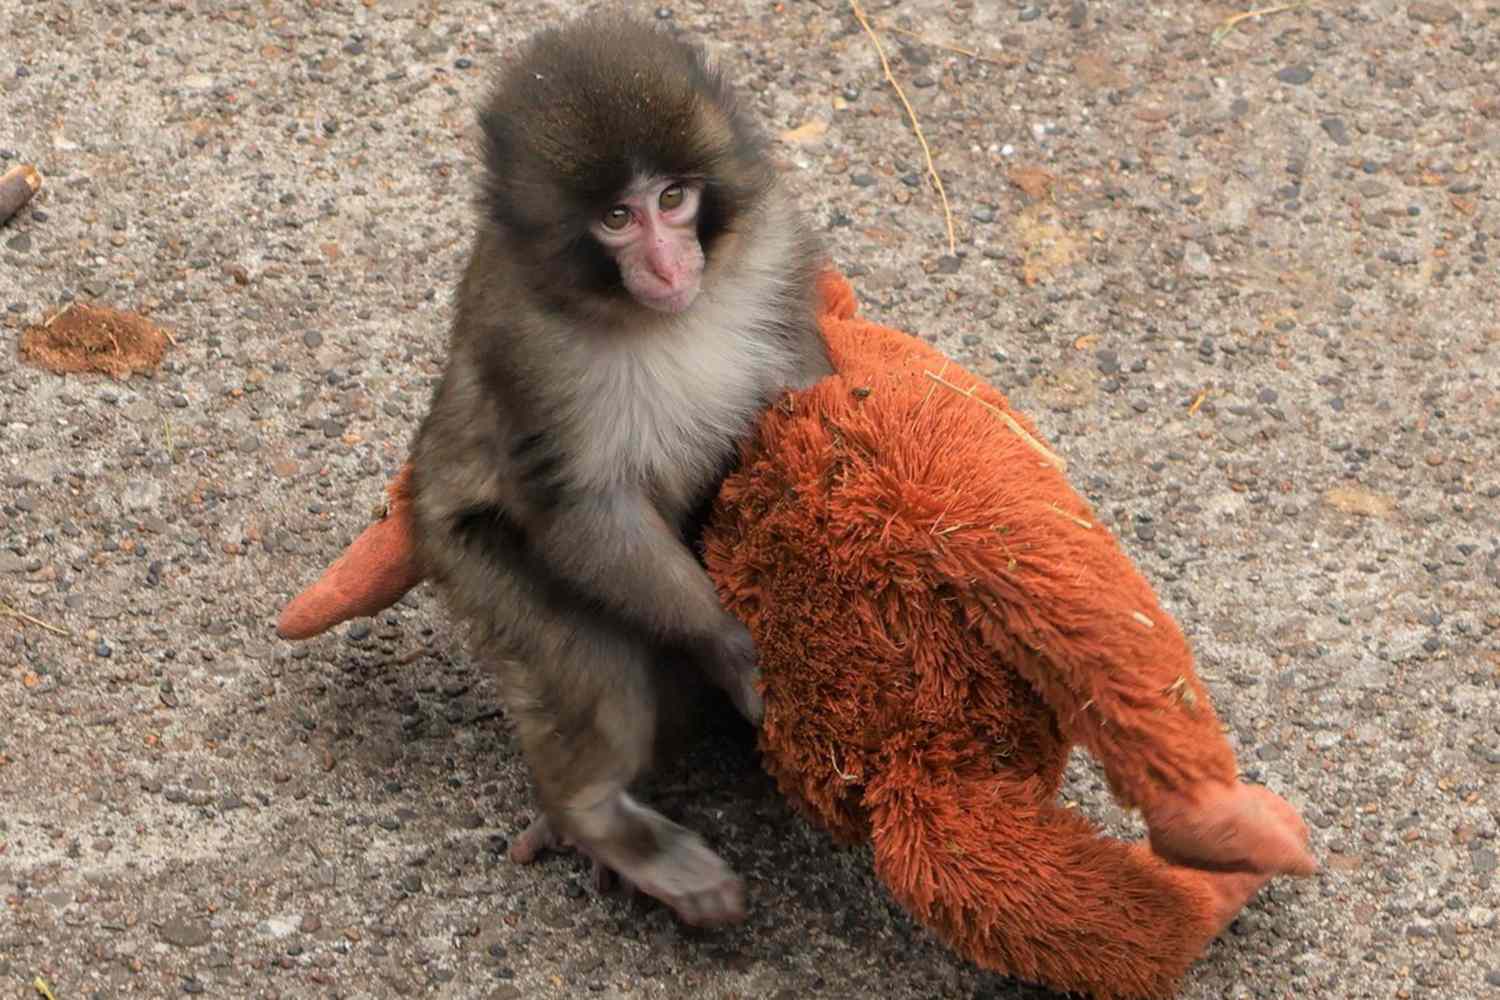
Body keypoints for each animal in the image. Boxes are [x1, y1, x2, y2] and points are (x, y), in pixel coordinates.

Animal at [406, 14, 834, 928]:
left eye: (673, 200)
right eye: (615, 217)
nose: (669, 267)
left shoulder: (775, 250)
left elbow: (805, 391)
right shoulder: (525, 344)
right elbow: (582, 507)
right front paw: (730, 646)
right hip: (468, 560)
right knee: (596, 665)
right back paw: (597, 817)